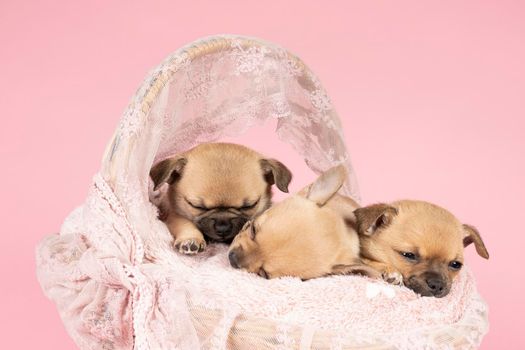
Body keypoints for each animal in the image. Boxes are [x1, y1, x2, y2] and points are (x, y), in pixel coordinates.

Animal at [149, 142, 292, 254]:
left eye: (249, 206)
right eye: (197, 206)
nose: (223, 227)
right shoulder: (174, 215)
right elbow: (185, 223)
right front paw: (190, 239)